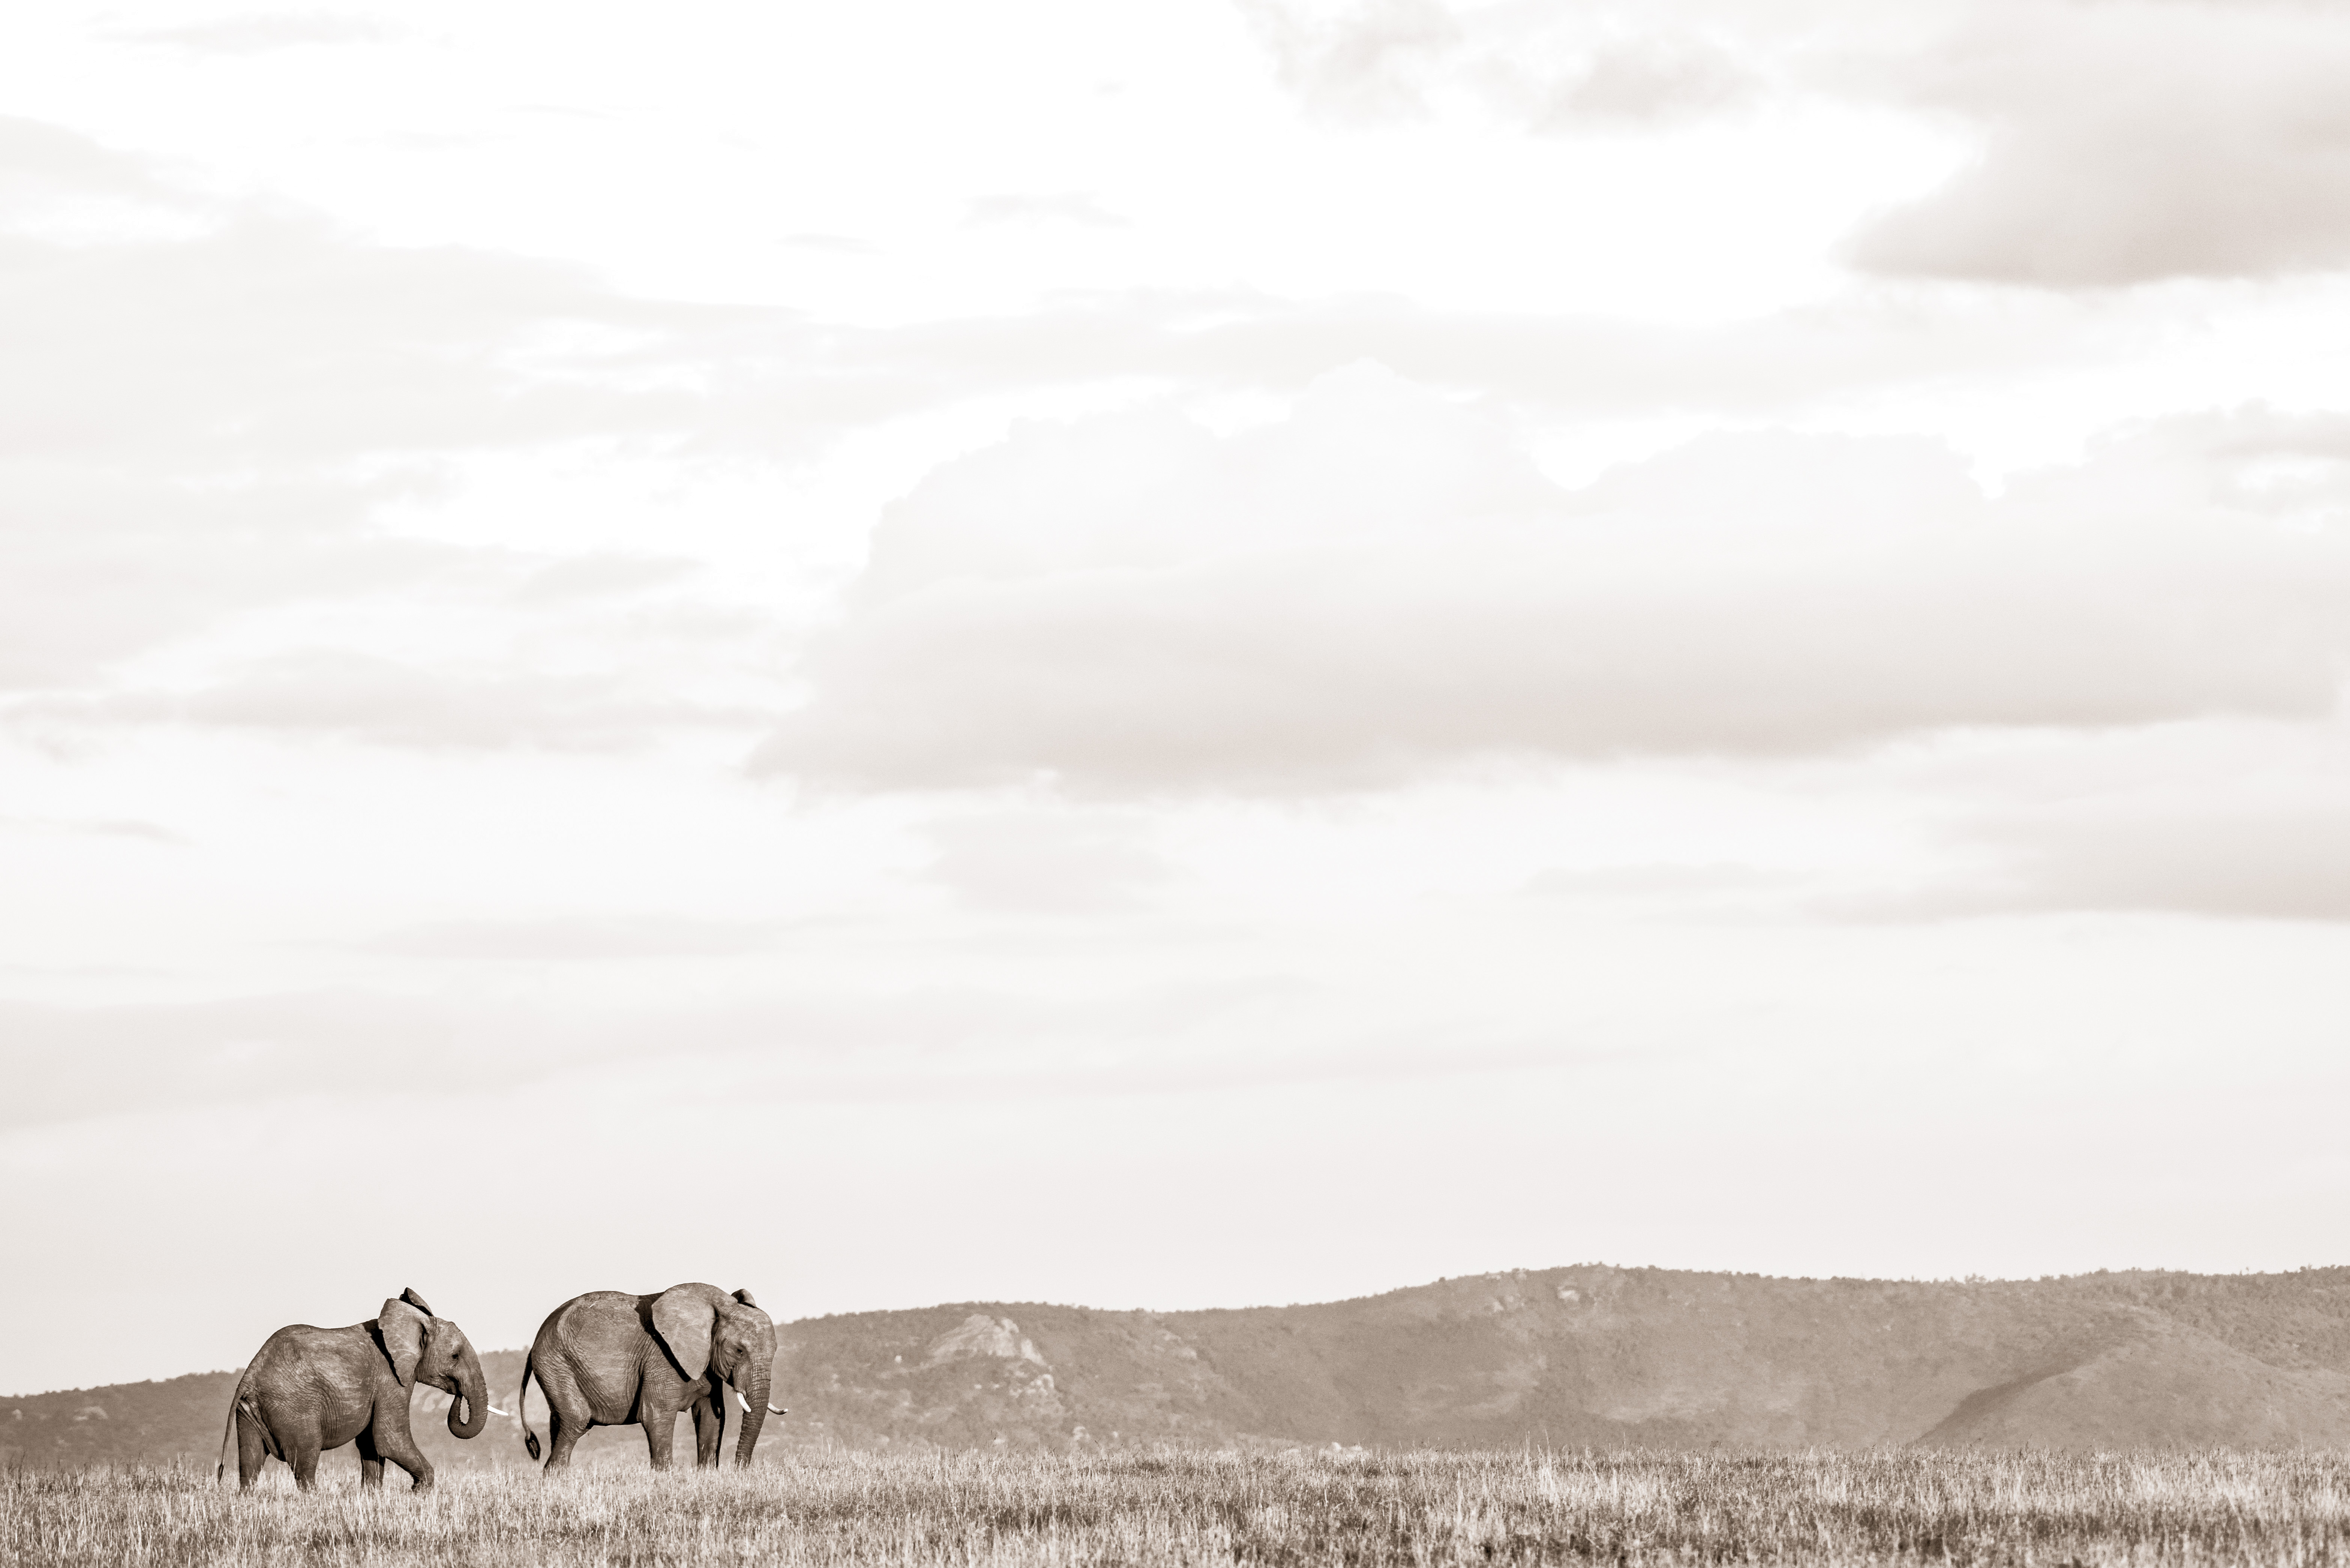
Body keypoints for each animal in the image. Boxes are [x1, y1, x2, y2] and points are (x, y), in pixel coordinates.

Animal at [214, 1288, 494, 1491]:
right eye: (455, 1356)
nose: (458, 1393)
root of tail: (250, 1375)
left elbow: (372, 1443)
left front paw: (371, 1496)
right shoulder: (390, 1380)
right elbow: (390, 1439)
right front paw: (419, 1492)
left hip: (250, 1410)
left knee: (250, 1462)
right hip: (293, 1407)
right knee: (305, 1460)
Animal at [518, 1283, 785, 1472]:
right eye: (739, 1351)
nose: (740, 1470)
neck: (719, 1306)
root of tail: (535, 1344)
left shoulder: (706, 1362)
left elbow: (711, 1416)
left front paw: (708, 1475)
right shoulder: (662, 1358)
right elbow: (656, 1417)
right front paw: (665, 1479)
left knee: (562, 1424)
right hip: (555, 1363)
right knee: (577, 1420)